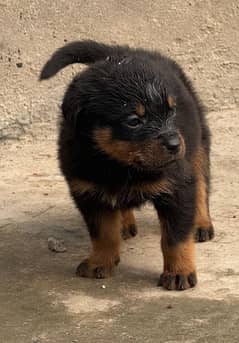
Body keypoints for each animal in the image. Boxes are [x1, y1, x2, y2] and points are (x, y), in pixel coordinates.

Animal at [40, 41, 214, 292]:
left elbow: (175, 237)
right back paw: (124, 222)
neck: (119, 166)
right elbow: (103, 233)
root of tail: (121, 51)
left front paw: (179, 272)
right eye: (133, 121)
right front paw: (100, 261)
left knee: (201, 185)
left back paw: (200, 224)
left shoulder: (177, 187)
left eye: (171, 111)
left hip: (198, 145)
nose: (174, 144)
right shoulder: (87, 192)